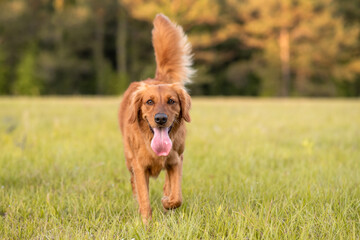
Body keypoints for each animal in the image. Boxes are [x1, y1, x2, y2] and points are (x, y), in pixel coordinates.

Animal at [119, 13, 194, 223]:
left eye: (171, 101)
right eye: (149, 102)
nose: (160, 118)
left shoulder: (176, 159)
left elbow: (176, 196)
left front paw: (167, 202)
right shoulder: (139, 166)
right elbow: (144, 197)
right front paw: (146, 223)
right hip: (128, 158)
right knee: (133, 183)